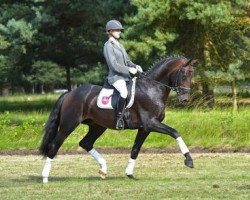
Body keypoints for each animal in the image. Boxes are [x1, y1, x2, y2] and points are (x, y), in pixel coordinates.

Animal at [40, 55, 196, 182]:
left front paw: (129, 173)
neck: (152, 88)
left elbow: (135, 149)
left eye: (191, 75)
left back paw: (103, 169)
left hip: (98, 126)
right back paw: (45, 177)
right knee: (54, 146)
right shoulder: (150, 123)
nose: (185, 99)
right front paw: (189, 160)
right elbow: (175, 132)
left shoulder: (144, 129)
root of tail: (70, 93)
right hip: (69, 125)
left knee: (86, 143)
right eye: (184, 75)